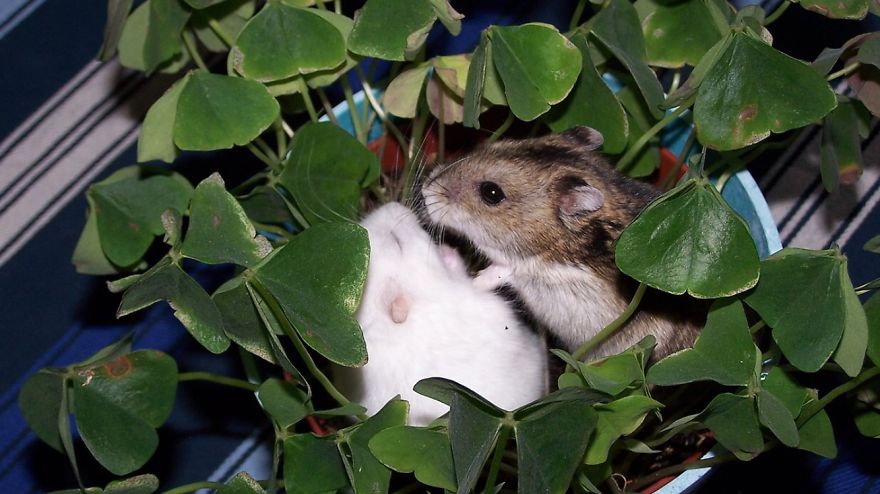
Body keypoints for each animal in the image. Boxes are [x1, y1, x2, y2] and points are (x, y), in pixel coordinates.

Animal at [420, 127, 702, 361]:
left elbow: (490, 275)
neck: (558, 241)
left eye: (491, 193)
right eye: (496, 144)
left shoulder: (524, 269)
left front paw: (464, 275)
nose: (425, 188)